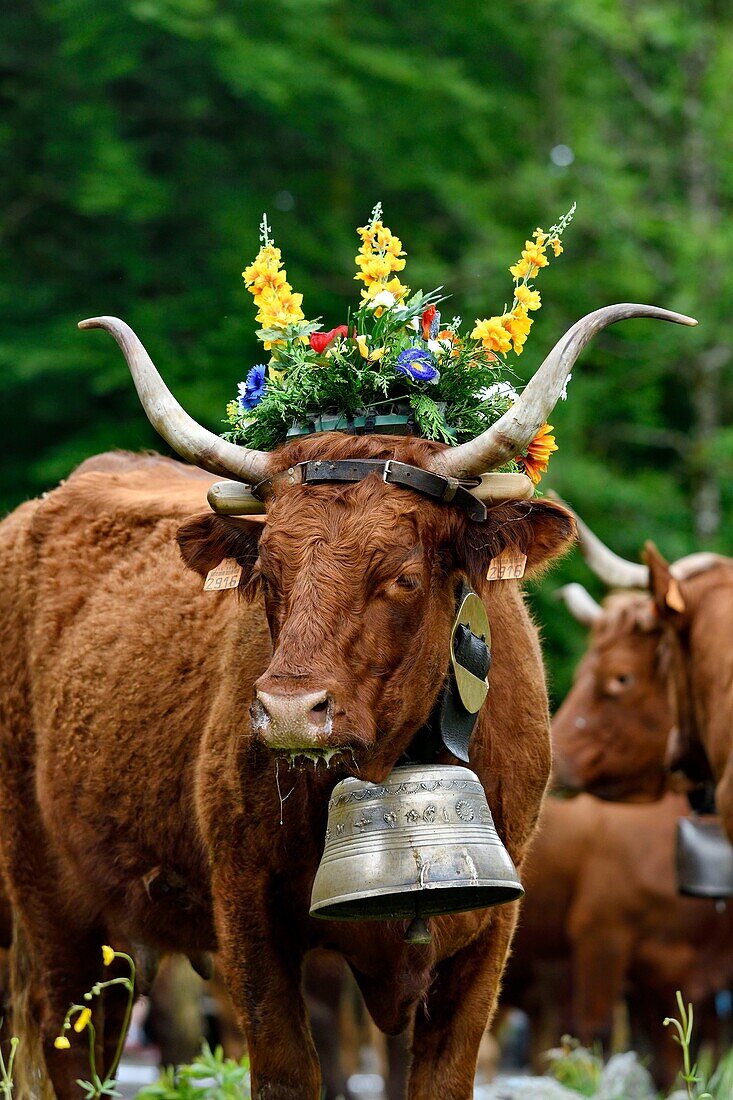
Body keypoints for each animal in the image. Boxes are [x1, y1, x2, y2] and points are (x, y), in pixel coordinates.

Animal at [0, 303, 686, 1100]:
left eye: (405, 576)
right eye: (267, 573)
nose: (291, 712)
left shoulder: (487, 931)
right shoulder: (250, 915)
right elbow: (289, 1071)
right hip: (51, 906)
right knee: (67, 1049)